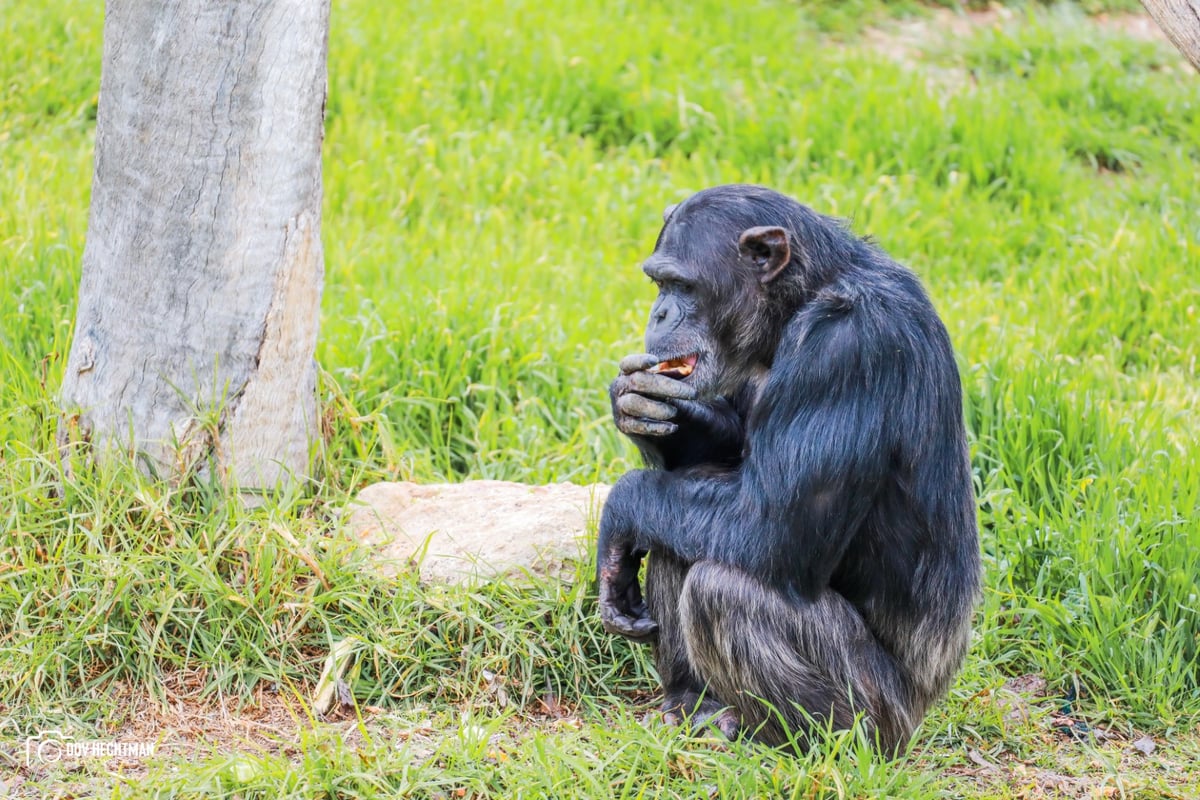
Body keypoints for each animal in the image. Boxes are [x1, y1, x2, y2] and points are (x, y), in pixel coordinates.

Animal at [595, 184, 979, 753]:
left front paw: (616, 516)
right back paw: (696, 705)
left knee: (720, 590)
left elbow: (771, 522)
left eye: (682, 285)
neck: (799, 303)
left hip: (883, 711)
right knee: (677, 533)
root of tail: (919, 719)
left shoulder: (848, 352)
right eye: (659, 283)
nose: (660, 312)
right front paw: (638, 403)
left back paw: (803, 744)